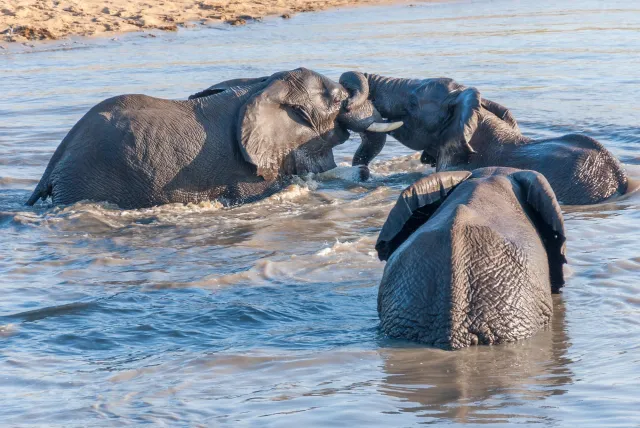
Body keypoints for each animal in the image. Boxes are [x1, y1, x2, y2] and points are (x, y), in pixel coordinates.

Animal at [28, 67, 404, 210]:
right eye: (337, 98)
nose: (365, 172)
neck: (265, 86)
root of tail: (55, 162)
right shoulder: (245, 172)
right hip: (87, 179)